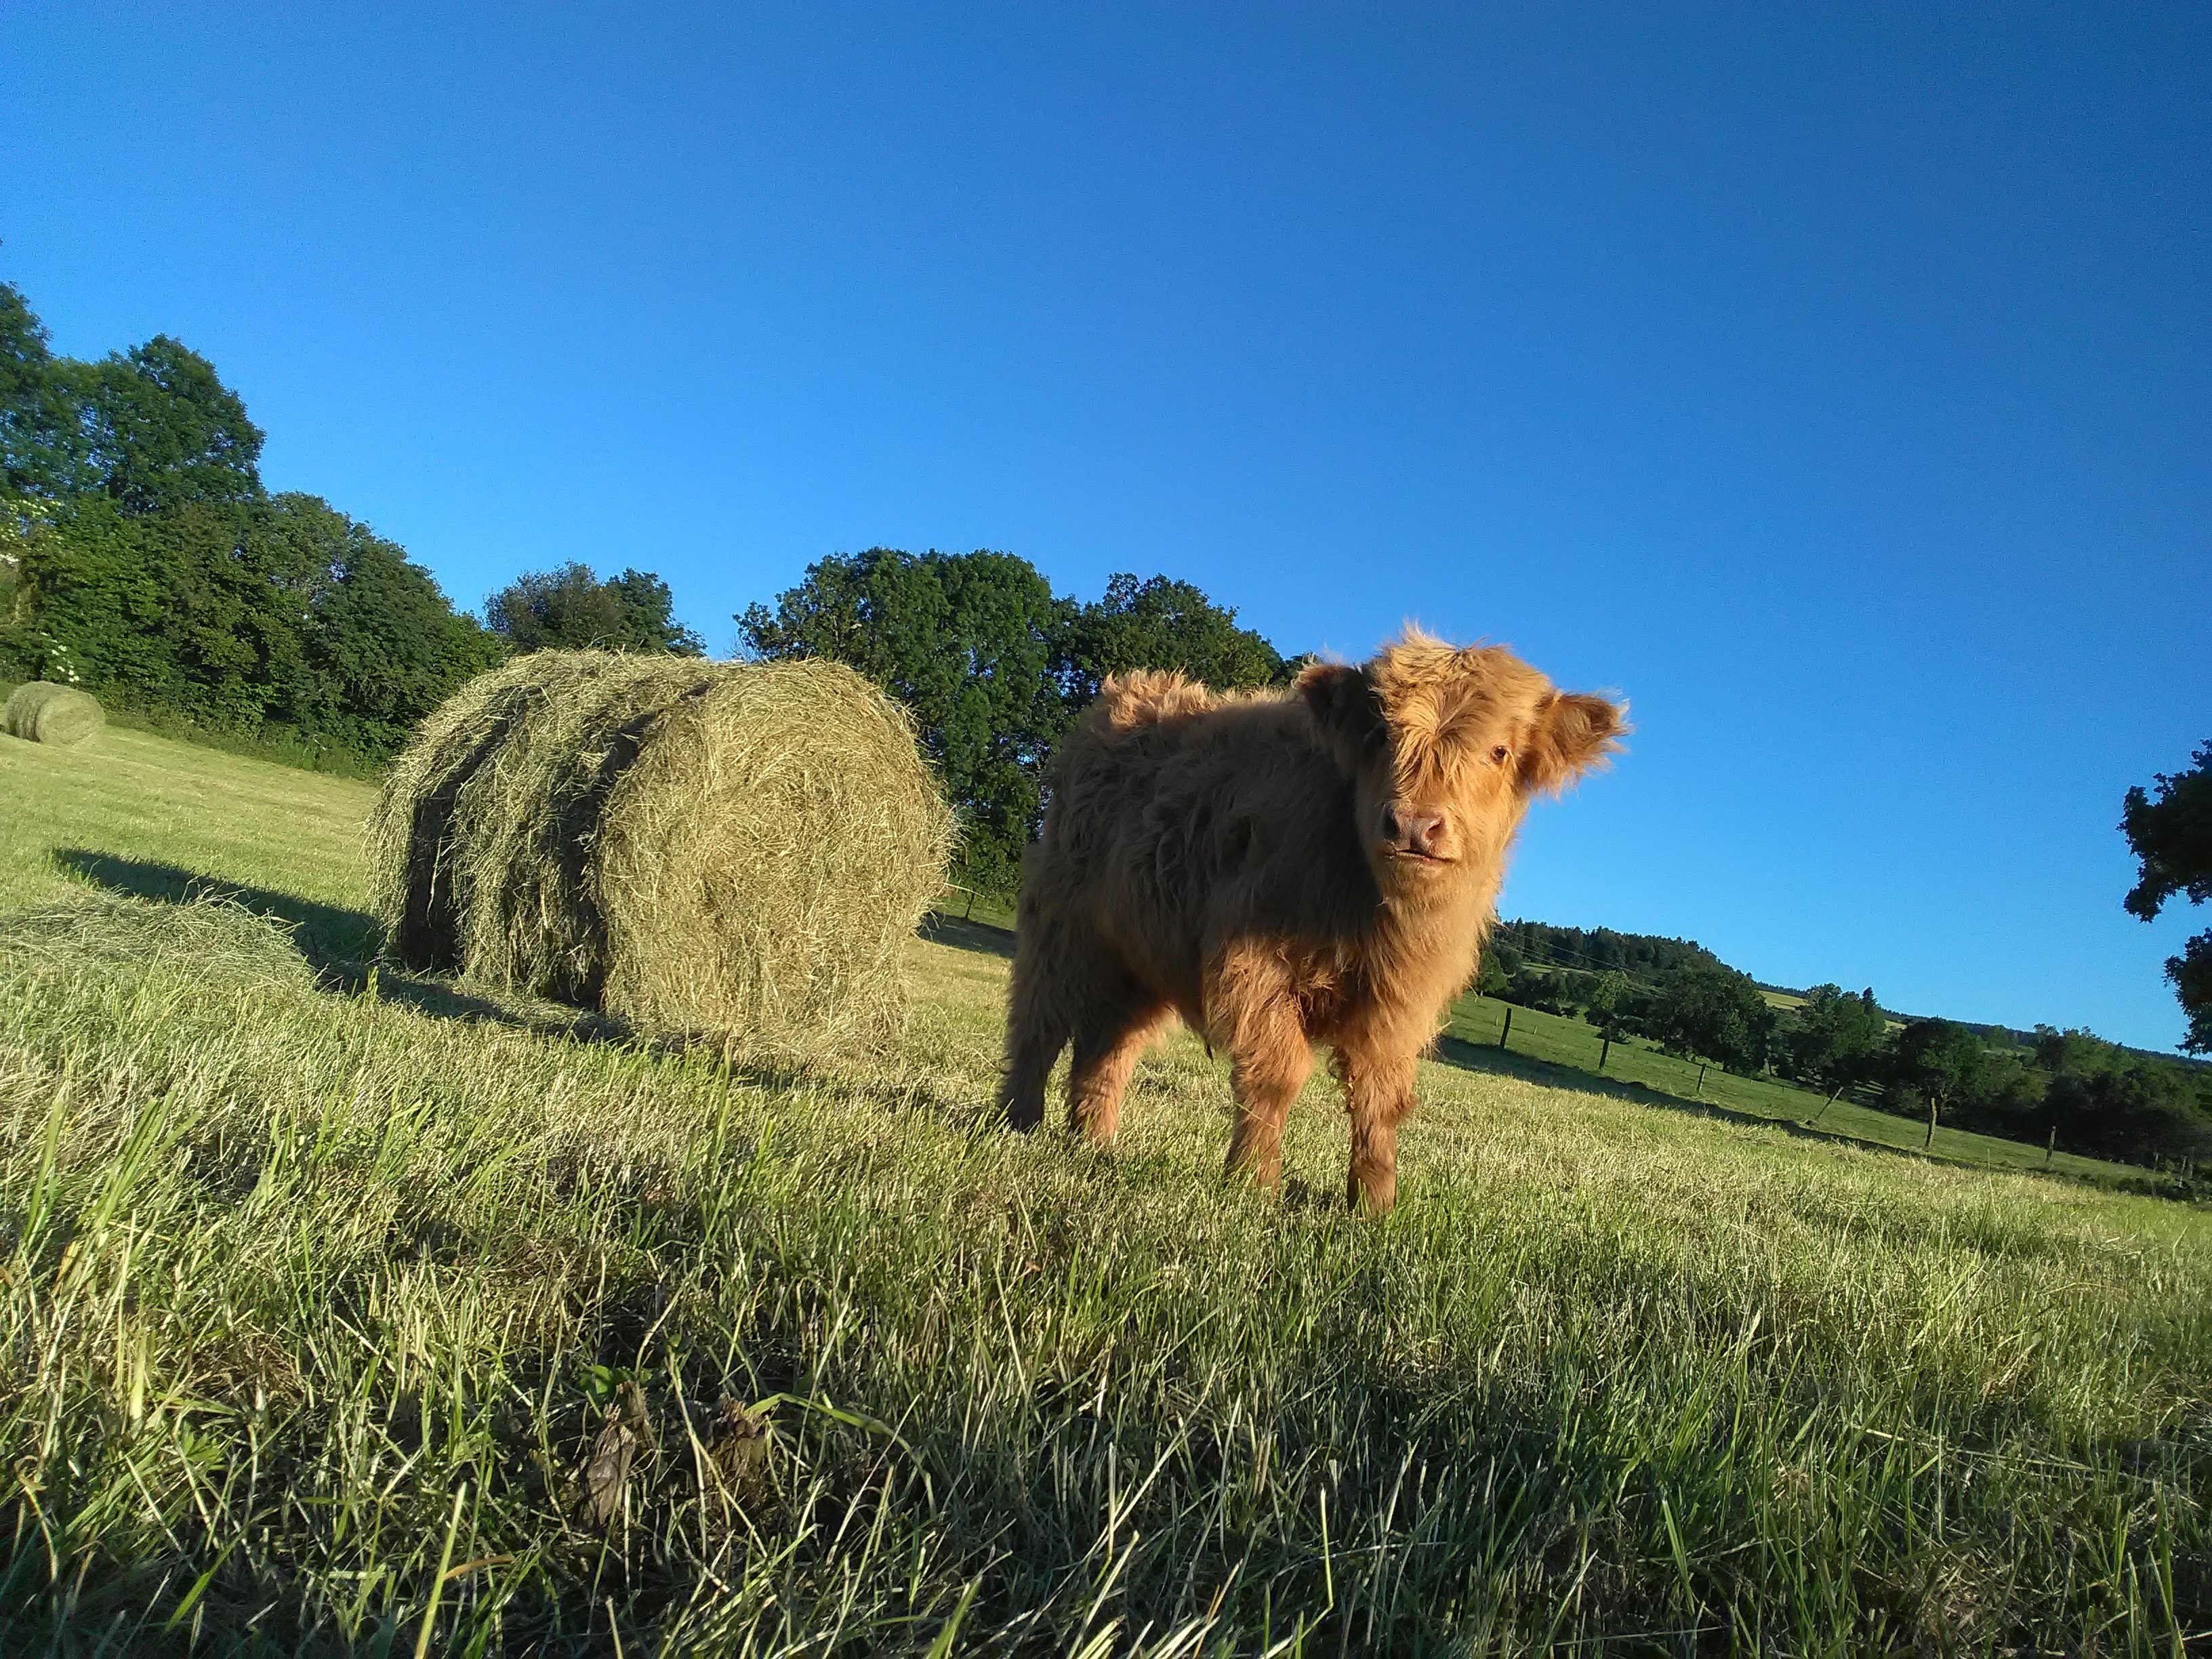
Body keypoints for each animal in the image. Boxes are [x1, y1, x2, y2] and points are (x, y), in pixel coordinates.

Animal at [1004, 628, 1628, 1212]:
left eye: (1498, 751)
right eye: (1381, 736)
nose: (1414, 825)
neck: (1376, 915)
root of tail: (1134, 689)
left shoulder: (1401, 1001)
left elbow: (1383, 1100)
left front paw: (1374, 1209)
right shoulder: (1255, 963)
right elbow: (1277, 1075)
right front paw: (1253, 1184)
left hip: (1144, 955)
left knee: (1108, 1044)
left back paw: (1093, 1143)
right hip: (1062, 922)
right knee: (1040, 1021)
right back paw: (1018, 1125)